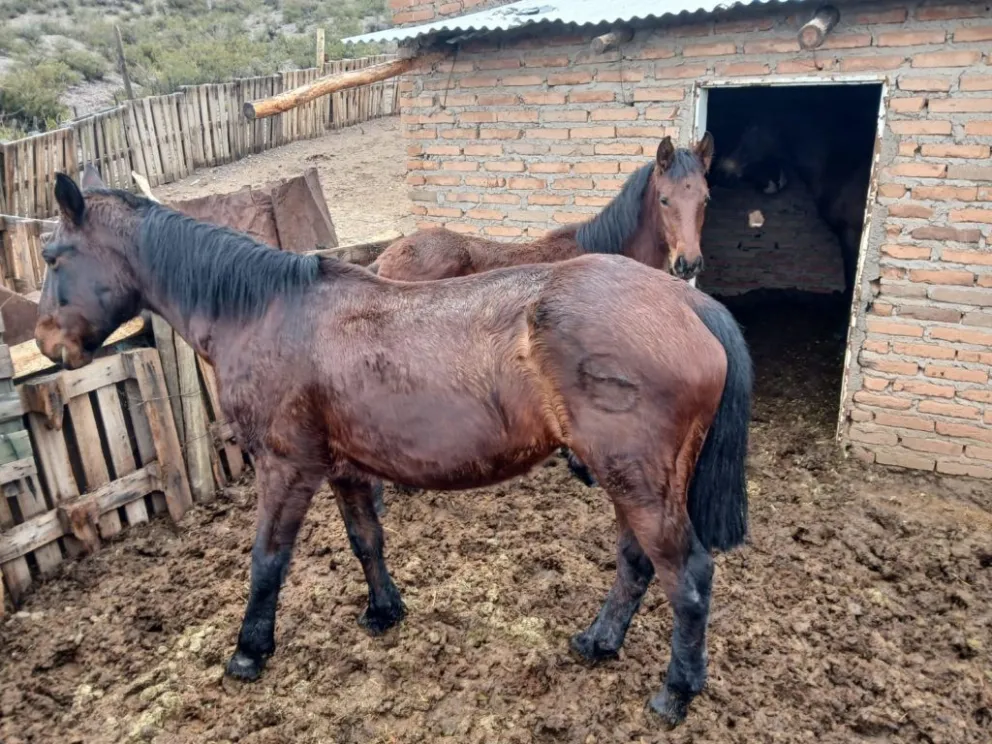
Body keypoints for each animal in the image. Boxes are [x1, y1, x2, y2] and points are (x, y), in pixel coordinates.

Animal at [36, 167, 751, 728]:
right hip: (634, 483)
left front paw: (249, 651)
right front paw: (383, 611)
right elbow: (366, 541)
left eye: (52, 256)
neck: (269, 313)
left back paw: (674, 693)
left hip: (639, 483)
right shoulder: (344, 470)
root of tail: (686, 305)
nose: (46, 343)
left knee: (687, 578)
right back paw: (599, 642)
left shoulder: (285, 469)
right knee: (636, 563)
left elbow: (267, 562)